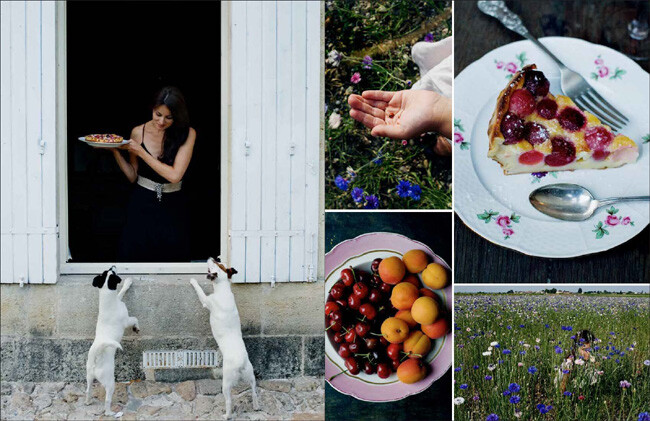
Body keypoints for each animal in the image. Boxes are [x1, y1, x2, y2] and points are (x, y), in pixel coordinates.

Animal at [85, 268, 138, 416]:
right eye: (111, 271)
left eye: (107, 270)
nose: (112, 266)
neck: (107, 303)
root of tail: (97, 357)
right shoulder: (127, 320)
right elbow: (135, 319)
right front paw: (136, 328)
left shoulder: (117, 299)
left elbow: (121, 293)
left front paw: (127, 283)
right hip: (109, 382)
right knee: (107, 400)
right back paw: (109, 413)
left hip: (89, 376)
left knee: (88, 390)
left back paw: (88, 401)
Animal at [189, 256, 256, 416]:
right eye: (220, 262)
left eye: (215, 263)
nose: (212, 257)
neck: (224, 289)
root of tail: (241, 363)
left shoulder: (206, 301)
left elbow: (199, 290)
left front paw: (193, 281)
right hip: (251, 376)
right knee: (255, 392)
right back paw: (257, 406)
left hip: (226, 383)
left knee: (229, 401)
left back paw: (226, 415)